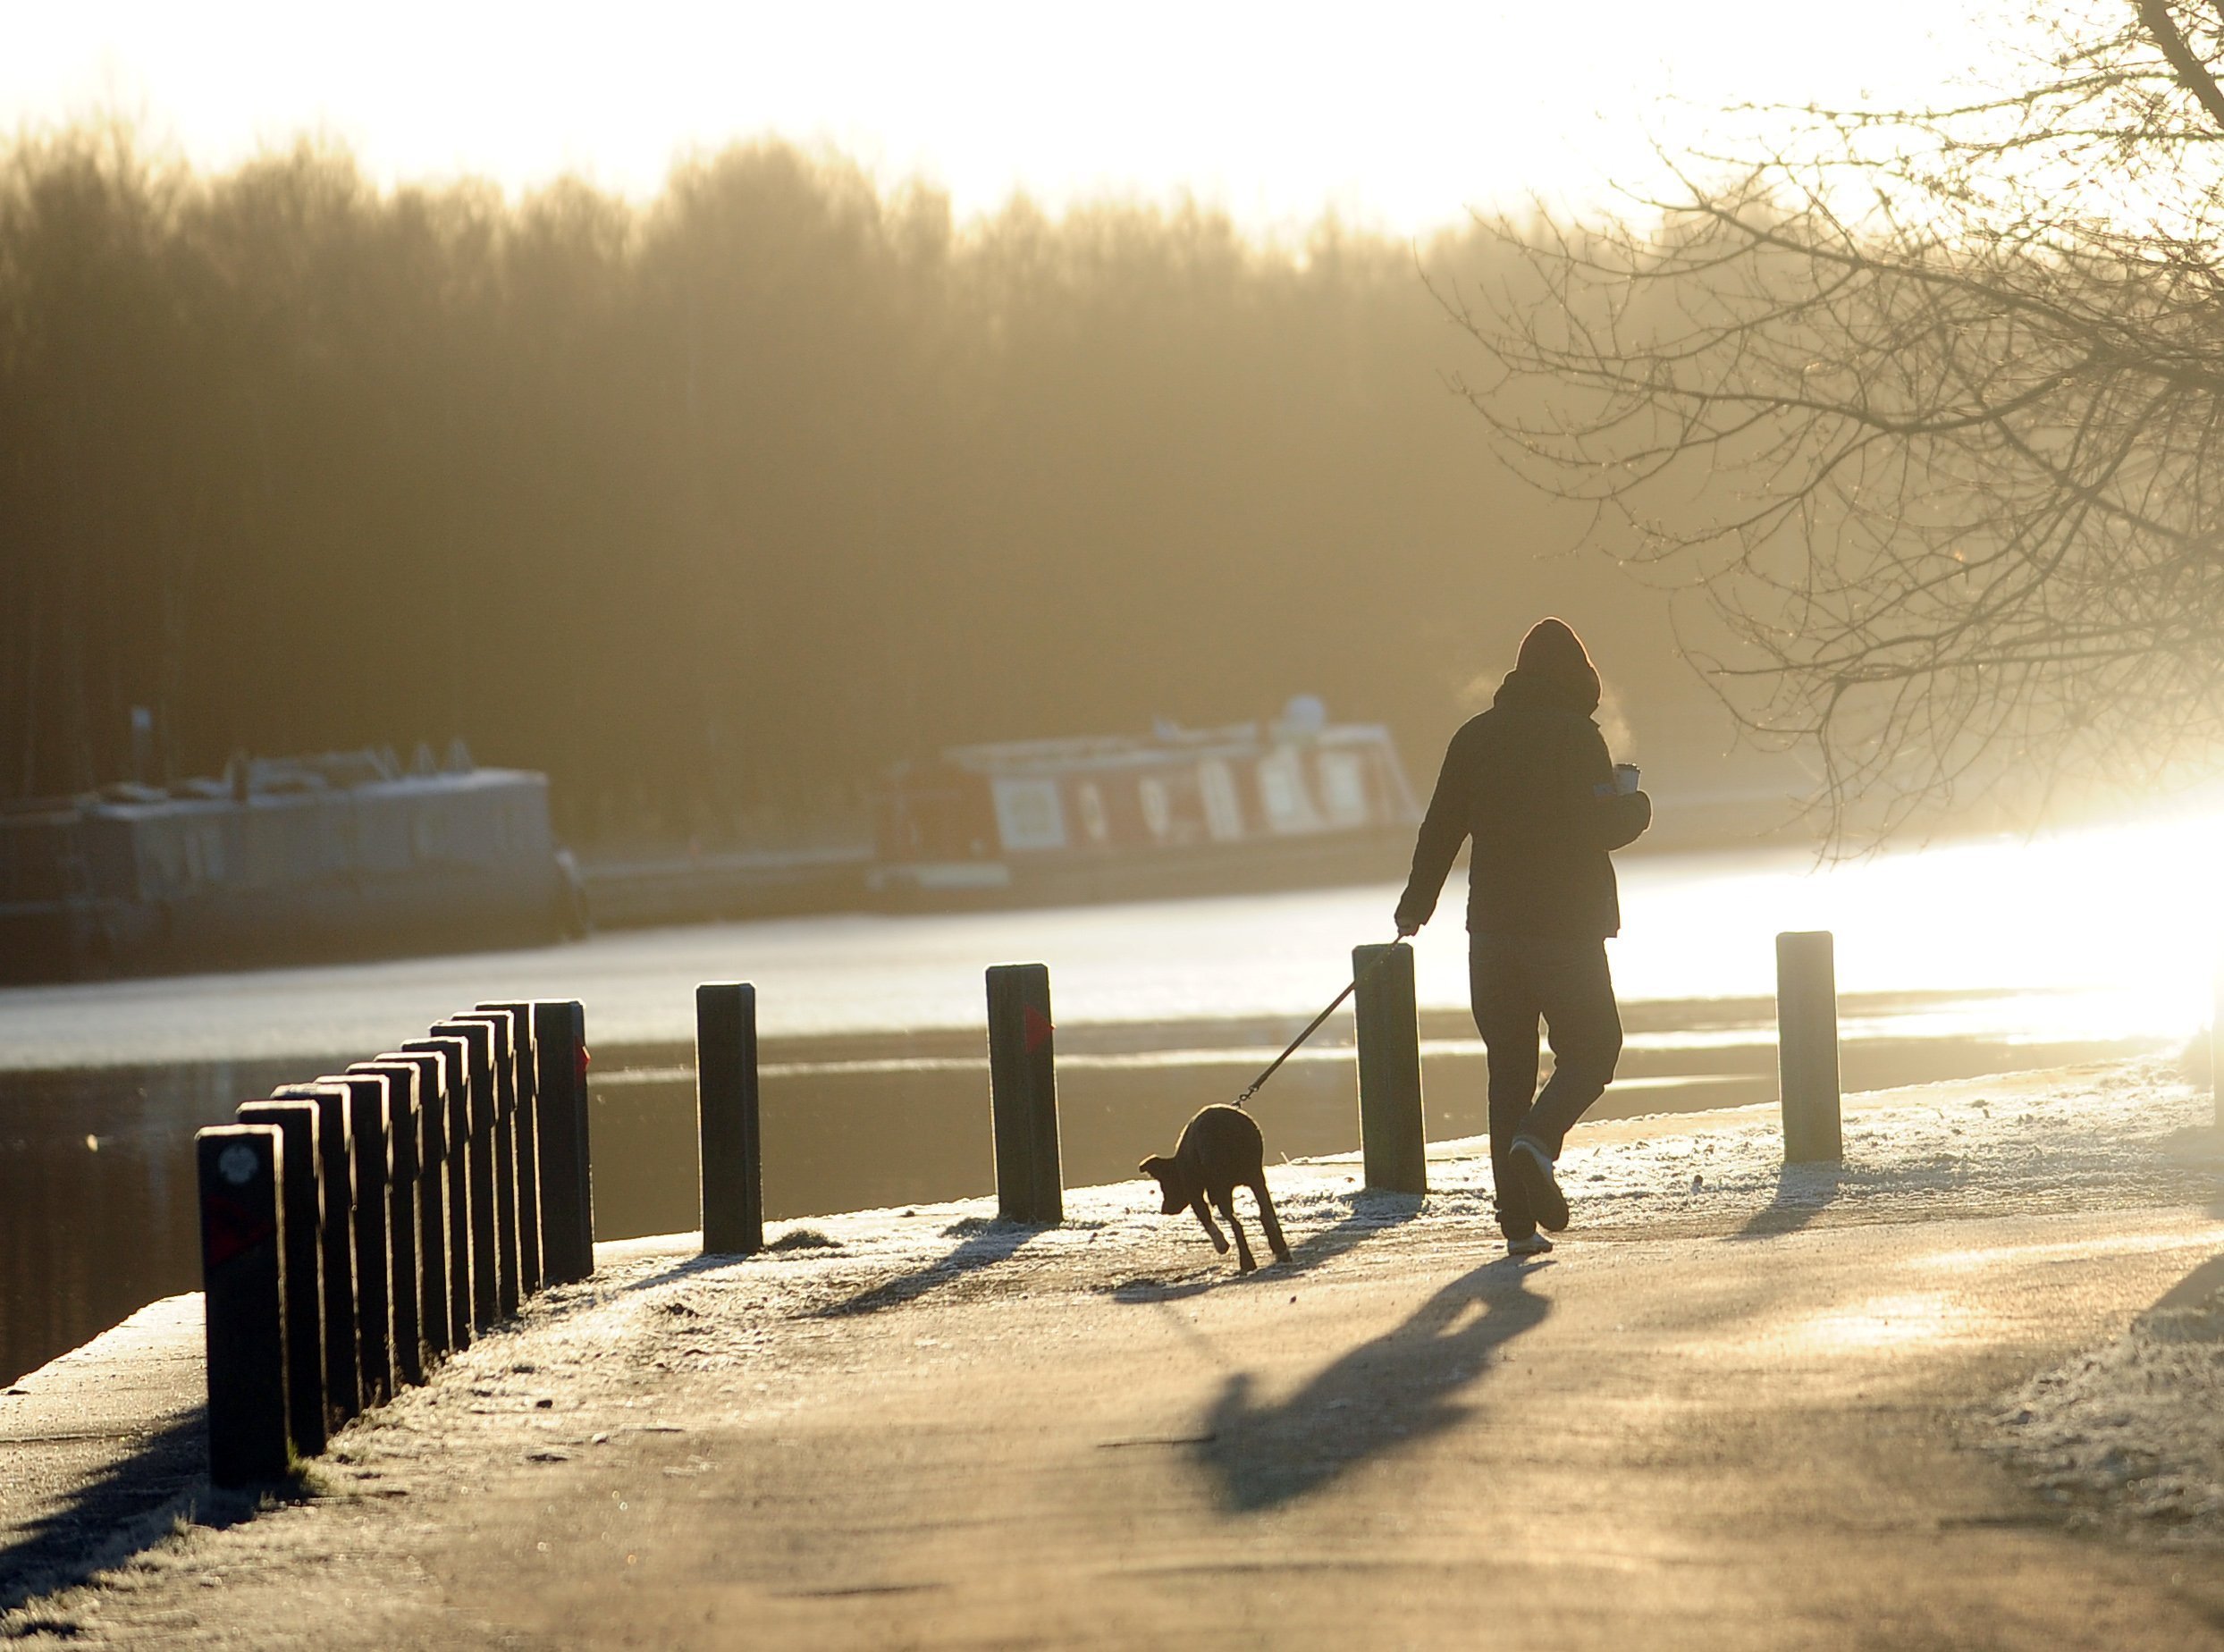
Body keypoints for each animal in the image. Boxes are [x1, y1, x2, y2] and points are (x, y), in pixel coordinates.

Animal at [1138, 1111, 1298, 1280]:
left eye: (1165, 1186)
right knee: (1266, 1213)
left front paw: (1222, 1245)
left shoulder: (1194, 1192)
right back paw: (1281, 1250)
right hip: (1256, 1178)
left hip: (1222, 1189)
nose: (1165, 1210)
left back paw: (1247, 1262)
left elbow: (1205, 1218)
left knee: (1236, 1223)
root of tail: (1226, 1130)